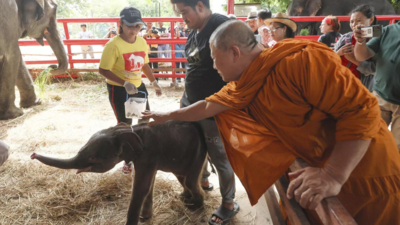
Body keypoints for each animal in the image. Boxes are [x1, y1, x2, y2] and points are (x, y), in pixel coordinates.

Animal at [30, 121, 206, 225]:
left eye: (92, 157)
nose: (32, 155)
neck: (124, 130)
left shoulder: (148, 154)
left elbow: (141, 188)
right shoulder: (145, 158)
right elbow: (148, 185)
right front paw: (145, 217)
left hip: (197, 153)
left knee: (190, 180)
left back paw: (195, 206)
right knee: (182, 177)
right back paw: (186, 198)